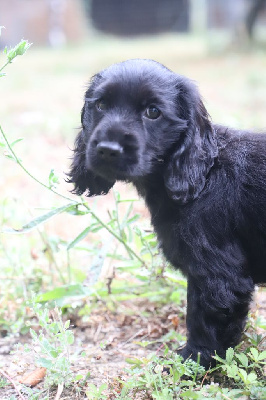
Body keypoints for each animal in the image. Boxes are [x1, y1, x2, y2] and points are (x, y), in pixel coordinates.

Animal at [69, 57, 266, 368]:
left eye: (153, 112)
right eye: (100, 105)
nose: (108, 149)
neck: (204, 175)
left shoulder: (219, 277)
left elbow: (203, 323)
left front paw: (190, 363)